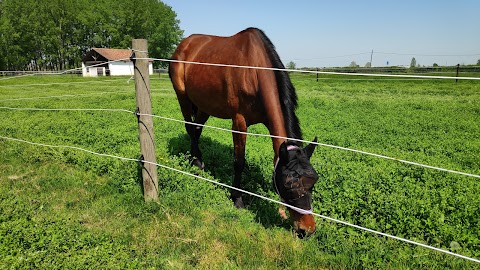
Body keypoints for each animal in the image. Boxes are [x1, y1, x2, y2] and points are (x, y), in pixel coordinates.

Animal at [169, 27, 318, 237]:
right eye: (288, 185)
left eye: (313, 182)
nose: (307, 230)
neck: (254, 71)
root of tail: (183, 45)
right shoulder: (239, 122)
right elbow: (238, 162)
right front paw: (237, 198)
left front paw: (280, 210)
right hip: (182, 97)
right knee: (190, 128)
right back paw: (196, 163)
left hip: (204, 105)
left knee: (197, 130)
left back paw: (196, 159)